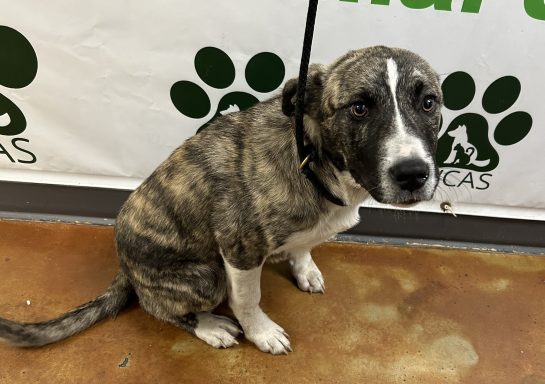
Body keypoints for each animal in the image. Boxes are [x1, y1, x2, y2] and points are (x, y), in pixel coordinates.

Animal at [0, 46, 442, 356]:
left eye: (429, 102)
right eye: (359, 107)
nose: (413, 174)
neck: (314, 161)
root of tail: (126, 270)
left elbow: (303, 247)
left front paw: (305, 268)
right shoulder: (239, 250)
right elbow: (247, 299)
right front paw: (261, 333)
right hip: (203, 277)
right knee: (157, 308)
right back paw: (210, 326)